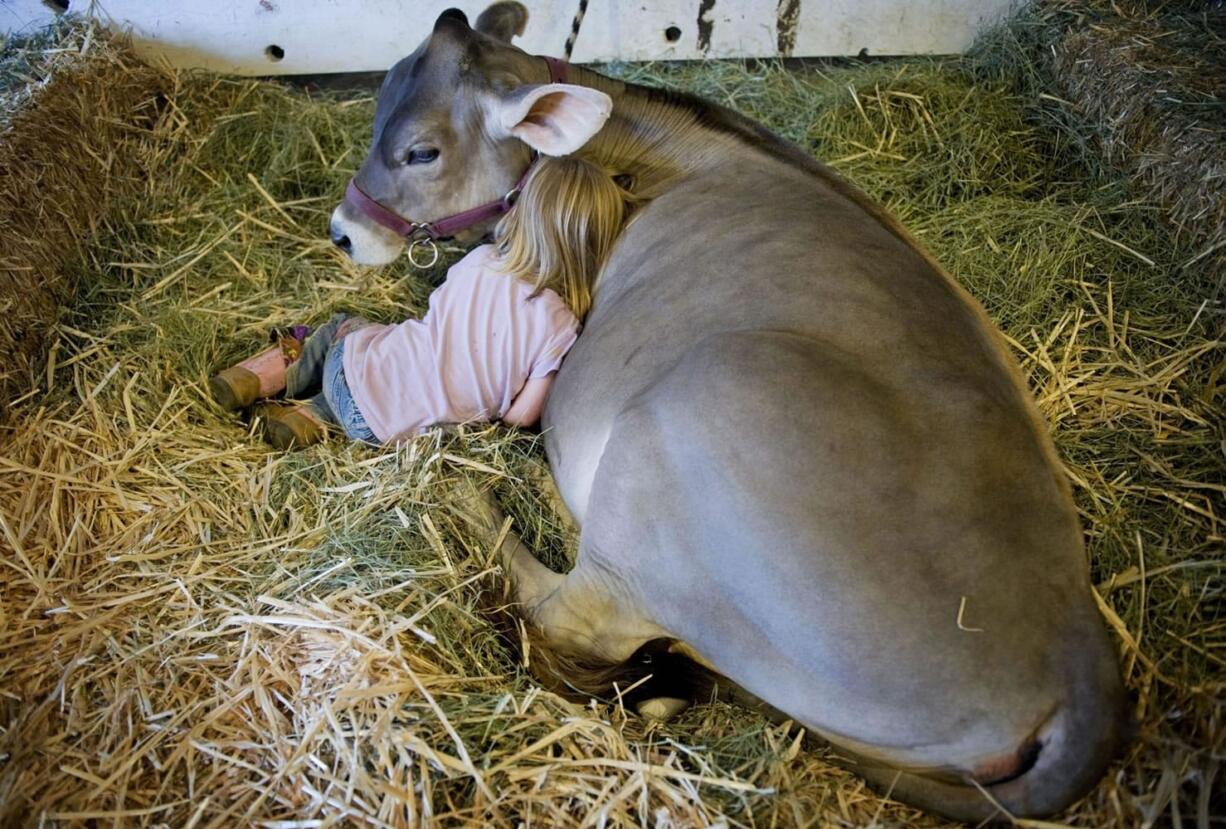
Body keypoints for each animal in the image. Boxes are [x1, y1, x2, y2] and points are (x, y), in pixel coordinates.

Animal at [328, 4, 1127, 824]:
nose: (343, 230)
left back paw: (471, 499)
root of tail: (1084, 676)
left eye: (421, 150)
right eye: (381, 93)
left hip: (676, 441)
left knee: (567, 616)